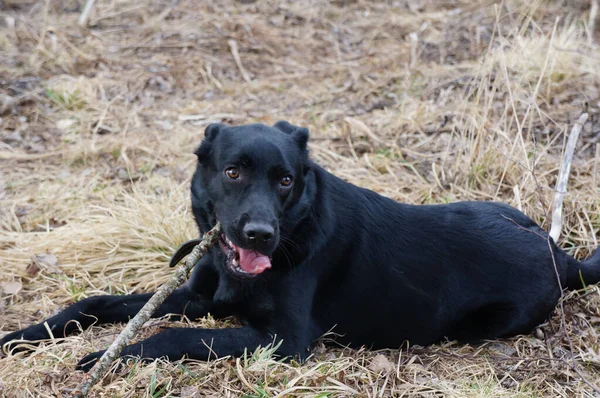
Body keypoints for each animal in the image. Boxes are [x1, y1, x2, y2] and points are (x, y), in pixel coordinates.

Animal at [1, 121, 600, 370]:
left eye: (286, 180)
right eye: (234, 172)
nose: (258, 235)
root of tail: (562, 256)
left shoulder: (284, 341)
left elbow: (174, 336)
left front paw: (108, 357)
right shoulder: (198, 297)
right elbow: (95, 303)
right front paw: (21, 336)